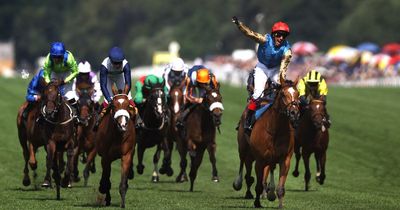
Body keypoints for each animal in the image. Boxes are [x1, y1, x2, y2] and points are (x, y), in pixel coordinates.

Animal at [248, 76, 298, 208]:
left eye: (298, 94)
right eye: (283, 94)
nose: (294, 113)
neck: (275, 130)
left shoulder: (285, 159)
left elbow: (281, 188)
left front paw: (280, 205)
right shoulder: (260, 160)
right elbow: (259, 185)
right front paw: (257, 203)